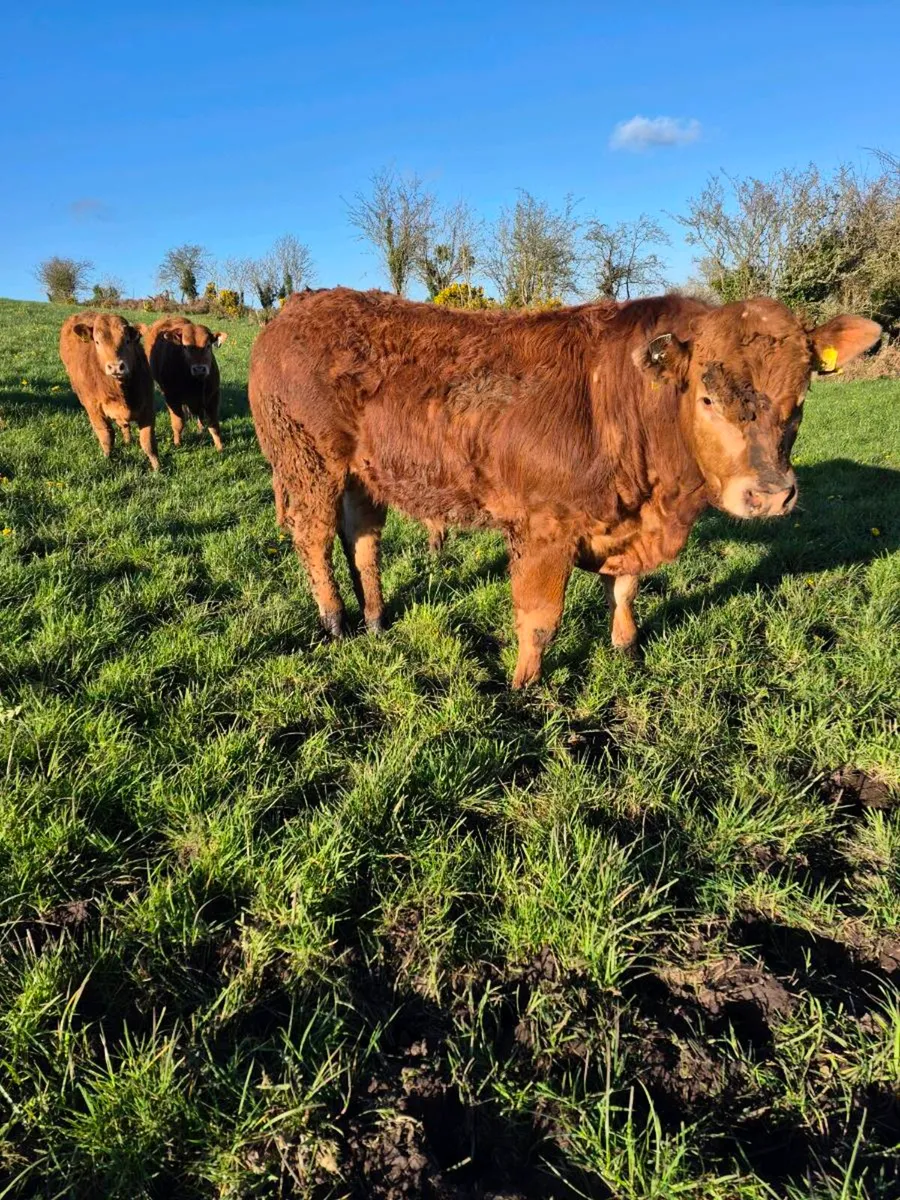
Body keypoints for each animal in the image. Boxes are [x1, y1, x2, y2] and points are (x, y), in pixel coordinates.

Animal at [59, 312, 158, 470]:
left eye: (127, 341)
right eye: (97, 342)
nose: (116, 367)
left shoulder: (148, 407)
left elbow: (147, 442)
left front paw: (157, 467)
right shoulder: (94, 409)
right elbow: (106, 436)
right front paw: (107, 459)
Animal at [145, 317, 227, 451]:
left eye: (208, 345)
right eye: (185, 347)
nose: (199, 369)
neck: (195, 384)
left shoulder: (213, 396)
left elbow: (214, 425)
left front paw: (220, 447)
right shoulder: (172, 398)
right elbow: (178, 423)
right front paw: (177, 443)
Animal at [248, 288, 880, 688]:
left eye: (801, 398)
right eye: (706, 398)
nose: (770, 493)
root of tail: (297, 304)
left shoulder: (624, 525)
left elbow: (624, 589)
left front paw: (626, 647)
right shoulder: (543, 528)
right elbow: (540, 618)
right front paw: (523, 686)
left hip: (363, 473)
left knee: (362, 540)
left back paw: (377, 619)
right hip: (308, 462)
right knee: (313, 538)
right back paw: (335, 619)